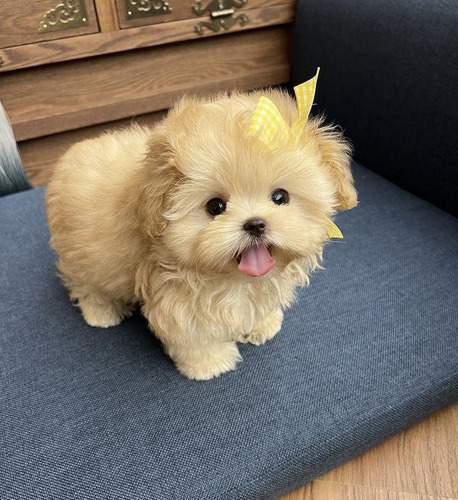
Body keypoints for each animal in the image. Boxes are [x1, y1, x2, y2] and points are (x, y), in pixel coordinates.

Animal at [45, 89, 358, 378]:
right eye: (215, 206)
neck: (233, 280)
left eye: (280, 197)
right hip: (84, 254)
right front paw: (210, 363)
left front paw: (262, 323)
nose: (255, 224)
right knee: (86, 284)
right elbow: (192, 332)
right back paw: (100, 311)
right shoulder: (174, 296)